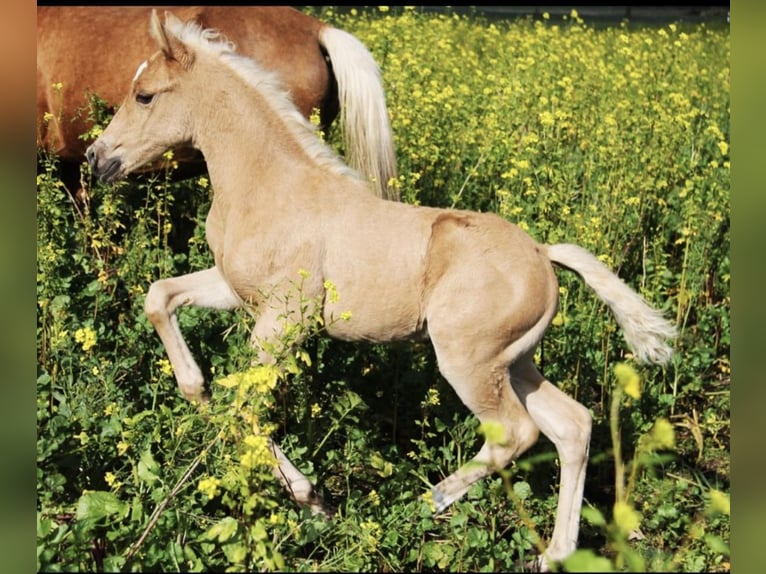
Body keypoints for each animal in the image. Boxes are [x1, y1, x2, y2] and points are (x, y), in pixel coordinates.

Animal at [88, 11, 680, 572]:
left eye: (145, 95)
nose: (98, 158)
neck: (271, 184)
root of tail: (541, 253)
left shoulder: (285, 320)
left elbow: (247, 403)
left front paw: (313, 499)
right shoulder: (235, 291)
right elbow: (160, 298)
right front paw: (197, 393)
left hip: (469, 362)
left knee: (517, 433)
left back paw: (428, 501)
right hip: (514, 362)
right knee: (572, 426)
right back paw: (550, 554)